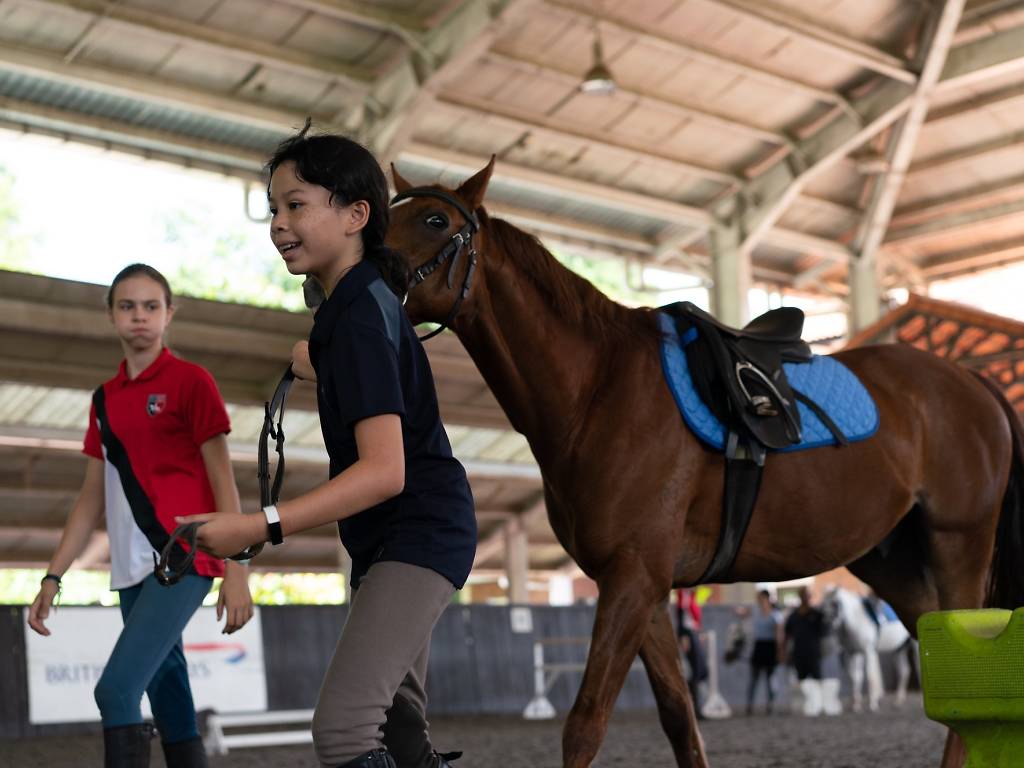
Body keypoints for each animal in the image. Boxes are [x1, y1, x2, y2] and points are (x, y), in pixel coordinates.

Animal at [386, 158, 1024, 768]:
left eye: (435, 220)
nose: (370, 268)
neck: (597, 391)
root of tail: (970, 380)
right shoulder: (642, 586)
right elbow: (679, 718)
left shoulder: (633, 577)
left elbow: (585, 724)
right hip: (892, 564)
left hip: (957, 546)